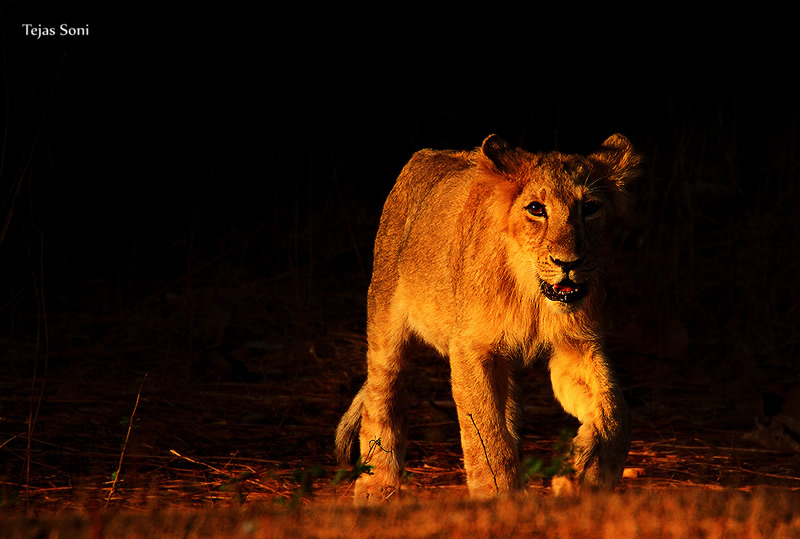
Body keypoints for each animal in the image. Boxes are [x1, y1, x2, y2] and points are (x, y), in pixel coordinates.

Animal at [334, 133, 640, 504]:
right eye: (536, 209)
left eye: (590, 208)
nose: (568, 262)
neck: (532, 297)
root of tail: (426, 155)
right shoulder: (470, 348)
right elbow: (486, 433)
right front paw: (499, 496)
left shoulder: (576, 345)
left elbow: (615, 411)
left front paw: (587, 474)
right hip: (384, 316)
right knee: (382, 398)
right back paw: (375, 487)